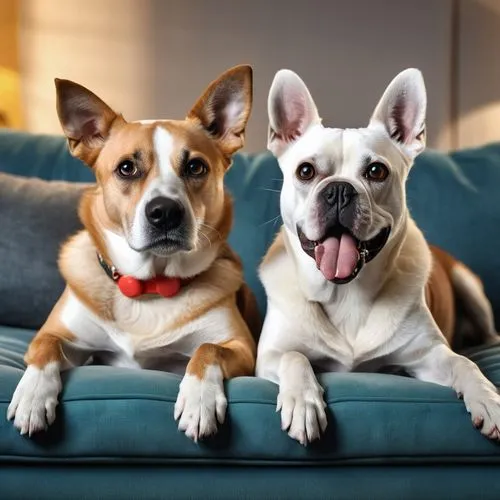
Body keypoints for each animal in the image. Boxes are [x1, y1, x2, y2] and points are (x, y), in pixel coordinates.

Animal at [7, 63, 260, 442]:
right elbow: (43, 348)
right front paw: (32, 395)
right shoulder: (54, 333)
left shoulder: (241, 347)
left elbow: (207, 349)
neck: (149, 286)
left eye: (195, 167)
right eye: (127, 168)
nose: (165, 212)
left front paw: (199, 399)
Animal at [256, 67, 500, 446]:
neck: (345, 293)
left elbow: (464, 363)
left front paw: (487, 398)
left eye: (376, 172)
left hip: (469, 287)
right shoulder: (271, 354)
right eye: (305, 171)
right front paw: (302, 402)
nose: (339, 190)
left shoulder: (428, 355)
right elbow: (295, 358)